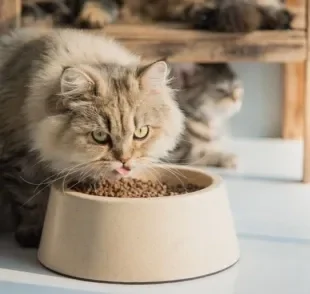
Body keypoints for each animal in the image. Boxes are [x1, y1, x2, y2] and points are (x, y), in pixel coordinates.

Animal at [0, 28, 184, 248]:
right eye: (99, 136)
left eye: (141, 132)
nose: (125, 161)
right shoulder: (20, 159)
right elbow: (30, 200)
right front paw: (33, 233)